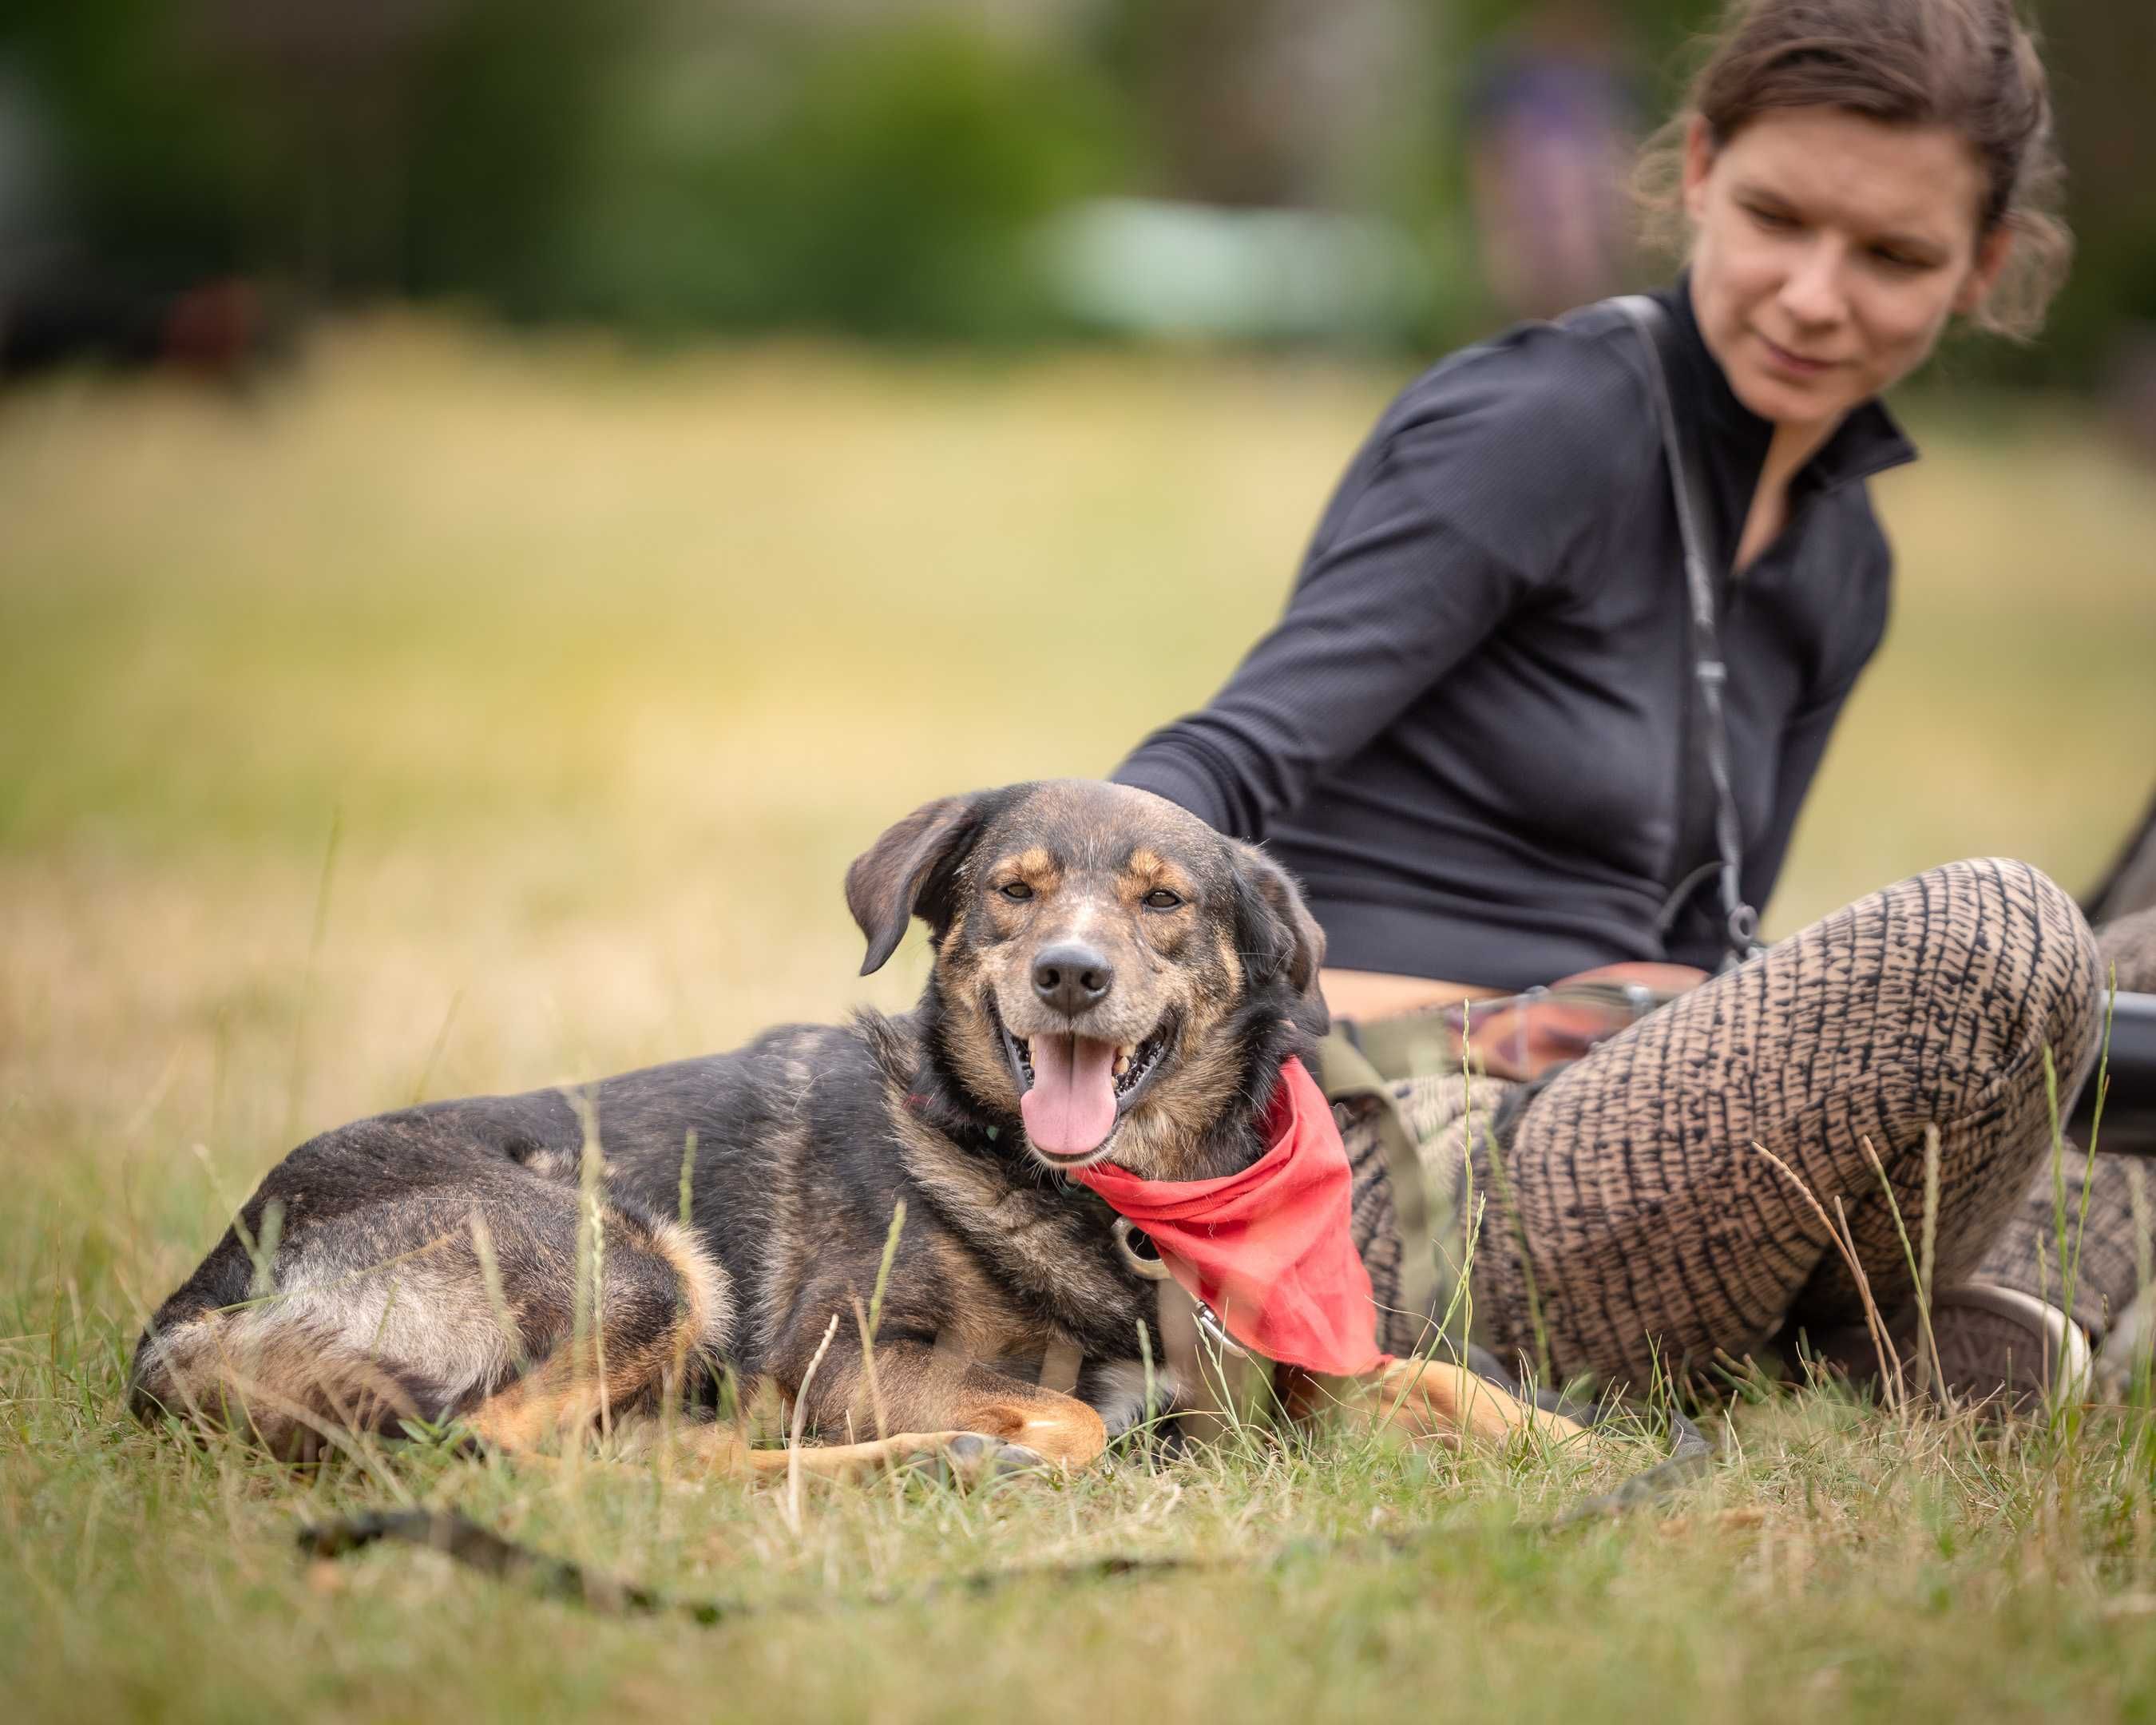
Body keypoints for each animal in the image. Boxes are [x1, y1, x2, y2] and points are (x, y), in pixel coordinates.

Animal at [125, 784, 1544, 1483]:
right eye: (1012, 893)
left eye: (1165, 904)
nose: (1071, 975)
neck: (1113, 1207)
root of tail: (192, 1309)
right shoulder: (841, 1352)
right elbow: (1073, 1416)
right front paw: (1004, 1442)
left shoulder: (1288, 1374)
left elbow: (1447, 1381)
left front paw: (1596, 1465)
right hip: (634, 1263)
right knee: (500, 1455)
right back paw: (908, 1460)